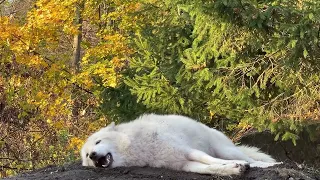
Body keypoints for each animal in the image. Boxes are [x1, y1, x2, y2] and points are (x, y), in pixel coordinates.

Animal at [80, 114, 280, 176]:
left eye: (98, 142)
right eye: (87, 156)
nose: (93, 156)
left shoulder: (187, 151)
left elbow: (210, 160)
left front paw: (238, 166)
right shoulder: (182, 164)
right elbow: (209, 168)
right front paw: (232, 169)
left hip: (226, 150)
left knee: (250, 158)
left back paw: (270, 164)